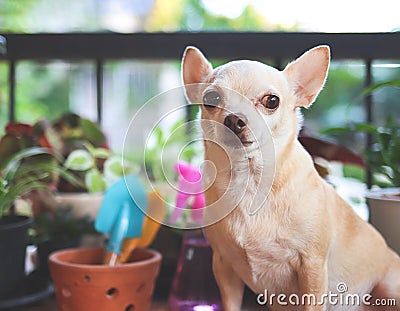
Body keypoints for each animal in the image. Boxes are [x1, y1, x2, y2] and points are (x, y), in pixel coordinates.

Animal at [182, 45, 400, 310]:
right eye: (211, 99)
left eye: (271, 101)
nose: (233, 119)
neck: (250, 182)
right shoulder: (224, 266)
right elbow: (230, 304)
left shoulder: (312, 266)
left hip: (389, 288)